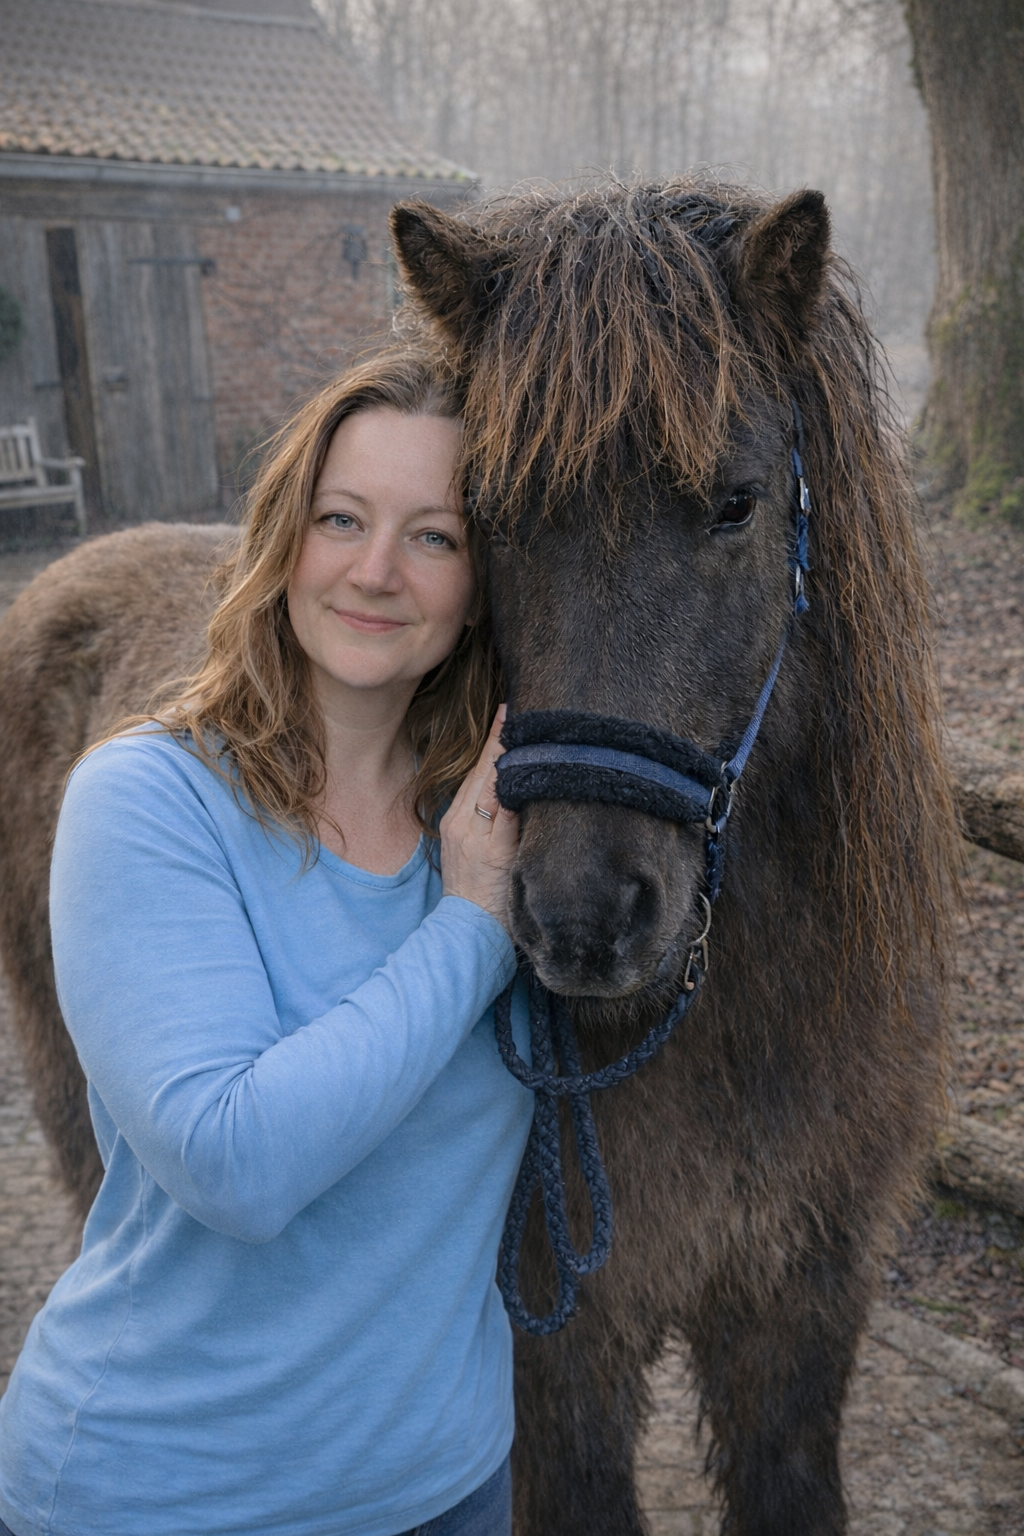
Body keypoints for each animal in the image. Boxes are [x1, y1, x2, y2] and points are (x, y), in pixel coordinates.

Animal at [0, 178, 957, 1534]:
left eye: (736, 502)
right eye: (487, 514)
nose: (582, 916)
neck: (734, 1018)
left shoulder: (796, 1315)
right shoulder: (558, 1353)